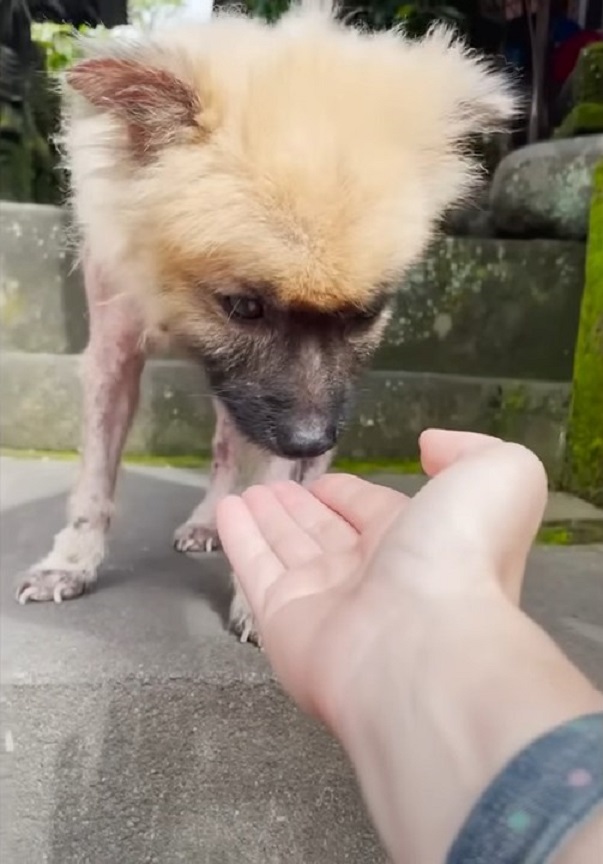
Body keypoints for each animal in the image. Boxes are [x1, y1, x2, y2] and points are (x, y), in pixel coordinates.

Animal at [15, 0, 516, 644]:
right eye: (244, 307)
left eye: (367, 314)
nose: (313, 439)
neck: (170, 291)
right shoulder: (114, 353)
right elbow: (94, 482)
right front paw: (71, 564)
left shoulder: (288, 404)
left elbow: (265, 475)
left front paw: (264, 591)